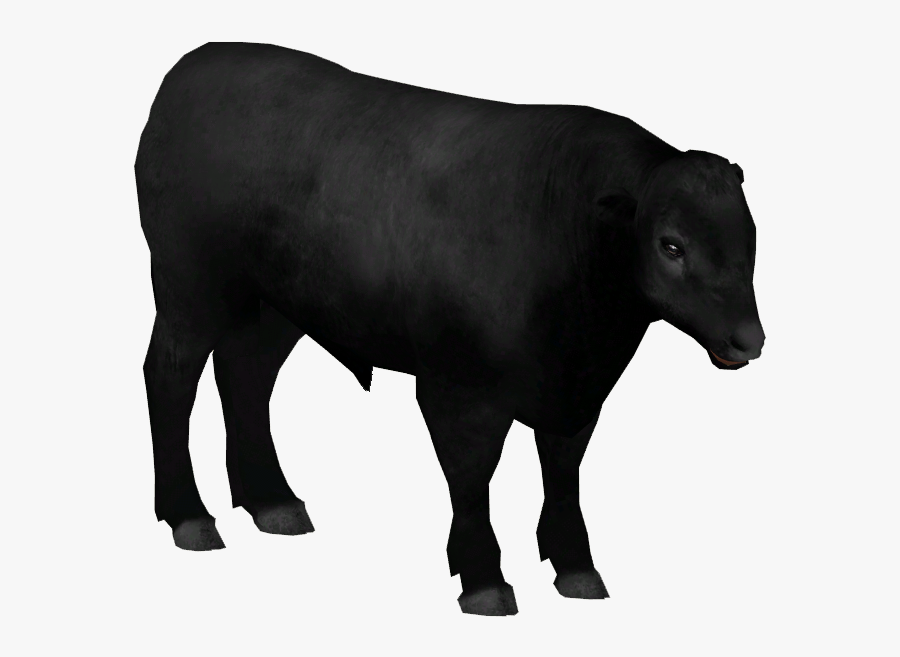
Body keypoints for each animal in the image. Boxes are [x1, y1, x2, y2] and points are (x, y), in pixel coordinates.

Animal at [135, 42, 765, 616]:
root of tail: (192, 66)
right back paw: (191, 518)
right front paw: (484, 581)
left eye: (750, 236)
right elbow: (471, 475)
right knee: (171, 375)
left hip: (273, 307)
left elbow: (563, 470)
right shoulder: (458, 388)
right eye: (670, 244)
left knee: (245, 376)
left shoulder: (576, 393)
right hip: (189, 289)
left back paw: (273, 503)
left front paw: (578, 570)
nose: (749, 340)